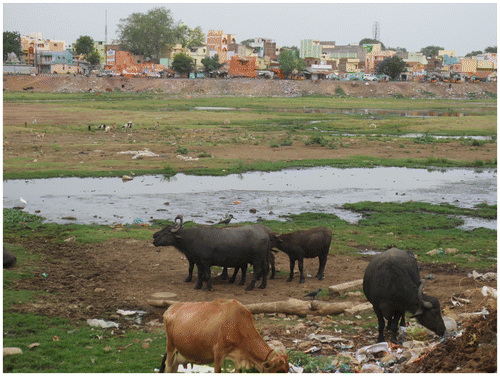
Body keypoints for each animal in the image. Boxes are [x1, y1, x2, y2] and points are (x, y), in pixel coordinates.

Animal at [158, 300, 292, 374]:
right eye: (280, 370)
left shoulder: (238, 357)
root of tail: (171, 308)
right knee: (167, 368)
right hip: (170, 349)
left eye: (287, 369)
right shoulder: (218, 352)